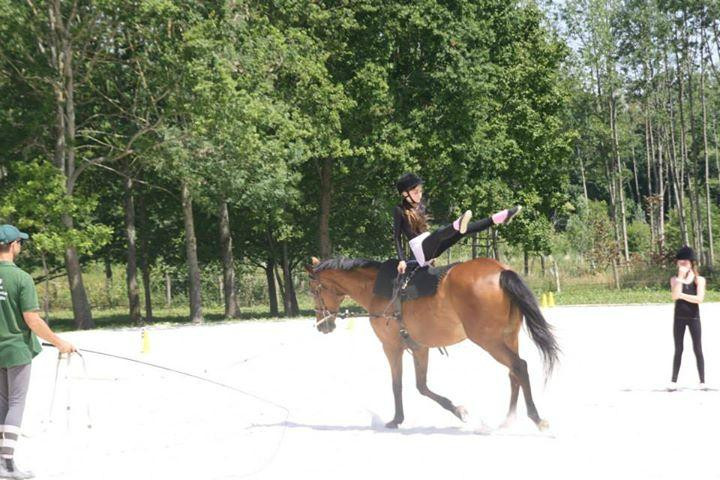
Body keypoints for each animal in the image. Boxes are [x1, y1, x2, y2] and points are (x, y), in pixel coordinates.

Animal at [304, 256, 556, 430]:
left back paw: (536, 418)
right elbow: (421, 386)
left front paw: (396, 419)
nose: (322, 325)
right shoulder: (419, 348)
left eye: (313, 290)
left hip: (489, 341)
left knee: (519, 367)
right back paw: (508, 419)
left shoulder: (391, 348)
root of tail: (501, 271)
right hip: (509, 337)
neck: (376, 288)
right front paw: (458, 410)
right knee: (513, 373)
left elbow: (398, 385)